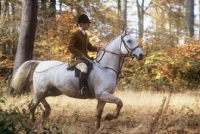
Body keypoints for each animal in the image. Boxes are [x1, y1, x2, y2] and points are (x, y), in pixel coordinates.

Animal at [10, 29, 144, 130]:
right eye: (129, 40)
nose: (141, 55)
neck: (106, 67)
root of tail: (40, 63)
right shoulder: (102, 94)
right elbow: (120, 103)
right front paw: (110, 116)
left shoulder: (103, 96)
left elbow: (99, 112)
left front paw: (97, 128)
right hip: (41, 89)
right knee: (32, 105)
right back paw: (32, 121)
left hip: (51, 91)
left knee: (40, 101)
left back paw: (45, 114)